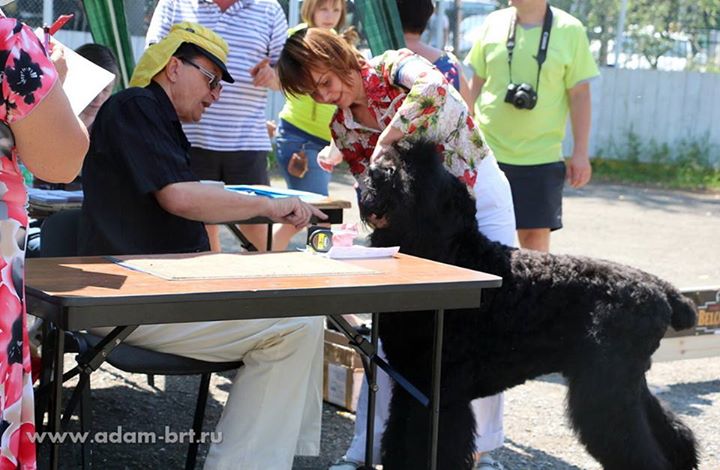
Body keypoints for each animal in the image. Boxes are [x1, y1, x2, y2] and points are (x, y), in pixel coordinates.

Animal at [359, 142, 699, 470]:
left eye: (417, 177)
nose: (375, 172)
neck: (455, 254)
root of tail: (661, 289)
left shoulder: (440, 392)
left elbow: (431, 447)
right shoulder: (411, 386)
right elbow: (399, 437)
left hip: (607, 388)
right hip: (625, 383)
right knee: (673, 430)